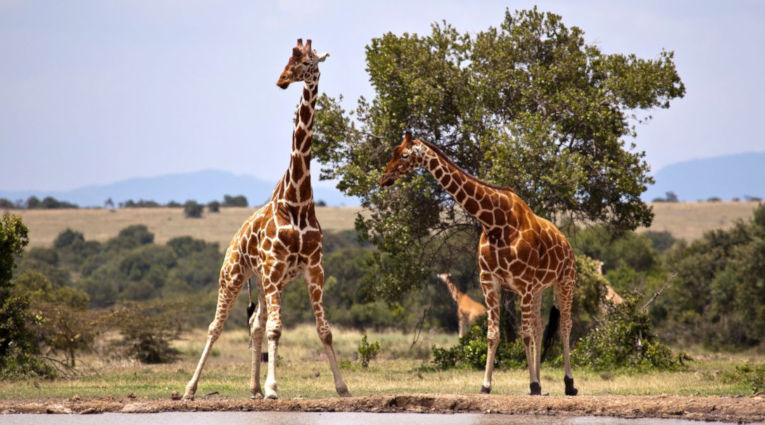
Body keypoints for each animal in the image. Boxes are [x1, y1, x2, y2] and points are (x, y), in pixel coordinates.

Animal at [184, 38, 350, 400]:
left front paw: (342, 386)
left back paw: (254, 387)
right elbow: (276, 329)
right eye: (289, 59)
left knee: (255, 322)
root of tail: (234, 238)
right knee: (217, 326)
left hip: (265, 282)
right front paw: (275, 388)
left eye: (307, 61)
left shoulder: (313, 269)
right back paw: (190, 388)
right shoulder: (275, 268)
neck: (297, 200)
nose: (281, 80)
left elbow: (324, 330)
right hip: (234, 275)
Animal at [382, 132, 580, 394]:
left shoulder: (524, 283)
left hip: (565, 281)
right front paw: (487, 385)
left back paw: (569, 384)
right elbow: (493, 334)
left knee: (565, 325)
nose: (384, 178)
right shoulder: (490, 281)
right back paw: (543, 383)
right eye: (393, 151)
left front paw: (534, 384)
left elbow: (524, 334)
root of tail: (567, 243)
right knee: (539, 328)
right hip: (538, 289)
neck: (495, 222)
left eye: (404, 155)